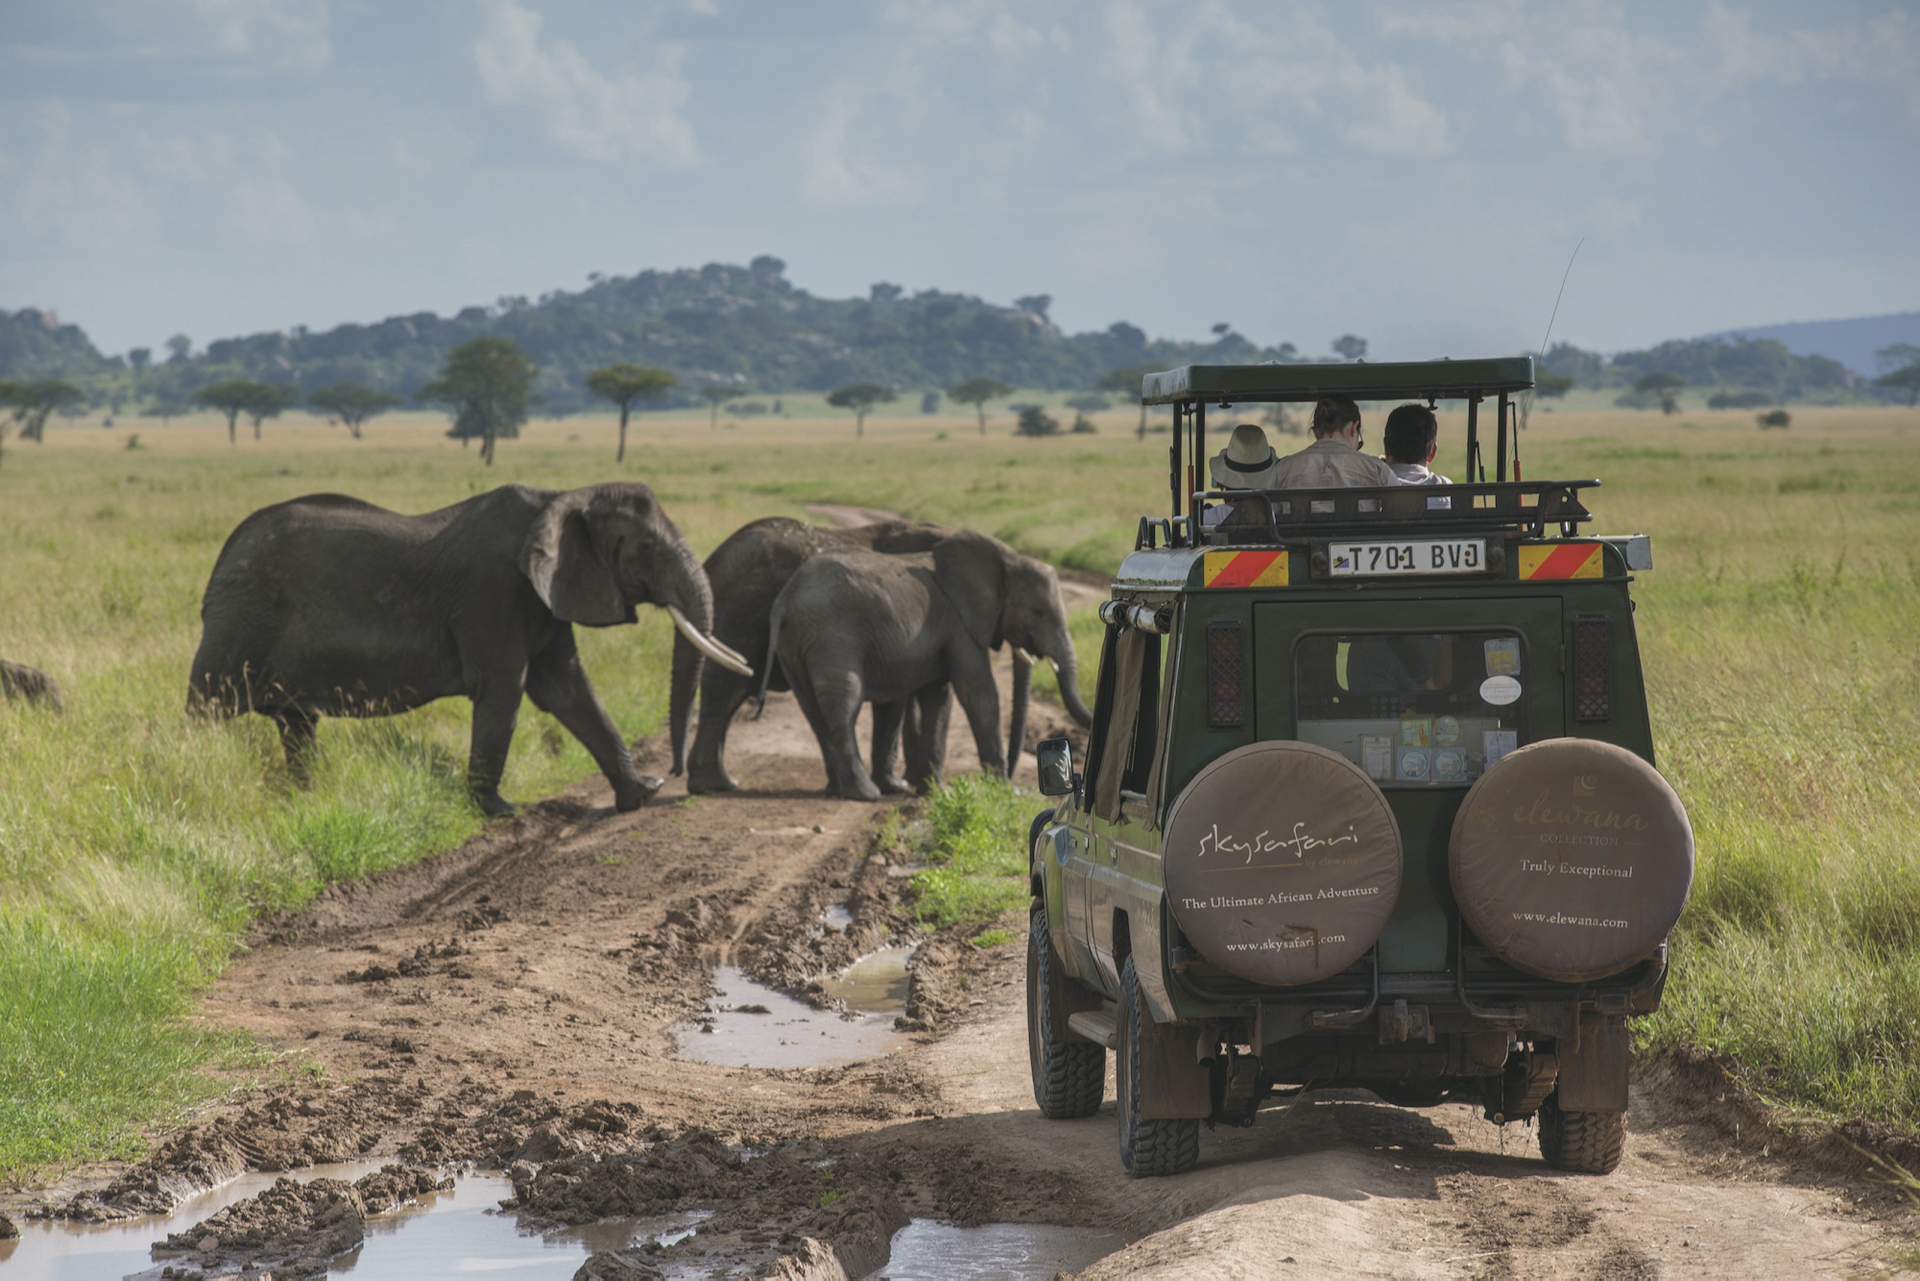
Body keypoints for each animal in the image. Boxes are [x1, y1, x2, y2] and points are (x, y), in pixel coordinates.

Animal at [191, 480, 748, 821]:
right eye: (646, 547)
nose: (673, 775)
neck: (563, 497)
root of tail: (224, 554)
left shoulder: (546, 595)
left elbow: (569, 689)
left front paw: (641, 794)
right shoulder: (494, 590)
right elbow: (505, 688)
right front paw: (498, 811)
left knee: (296, 722)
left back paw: (306, 797)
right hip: (238, 624)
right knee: (211, 709)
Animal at [668, 514, 952, 795]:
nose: (672, 773)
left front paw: (909, 782)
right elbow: (896, 700)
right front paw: (898, 786)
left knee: (728, 689)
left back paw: (717, 784)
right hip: (745, 606)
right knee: (727, 687)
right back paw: (713, 784)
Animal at [764, 530, 1098, 802]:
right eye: (1038, 611)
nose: (1012, 781)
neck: (1006, 557)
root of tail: (785, 600)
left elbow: (937, 698)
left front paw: (935, 791)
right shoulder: (960, 625)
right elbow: (978, 695)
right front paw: (998, 789)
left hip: (794, 645)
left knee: (813, 713)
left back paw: (837, 790)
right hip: (831, 637)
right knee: (844, 704)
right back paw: (865, 793)